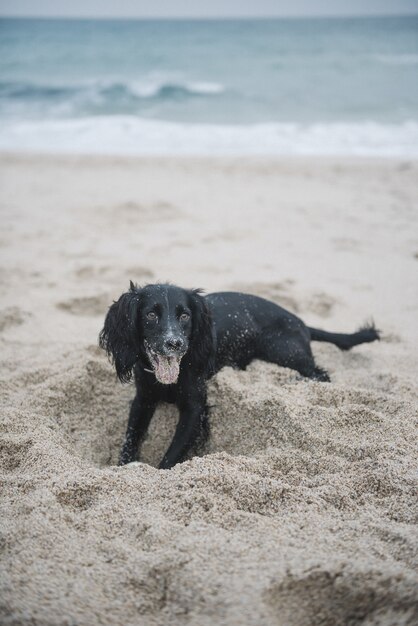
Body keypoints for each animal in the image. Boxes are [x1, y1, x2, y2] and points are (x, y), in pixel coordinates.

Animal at [99, 282, 378, 468]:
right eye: (150, 314)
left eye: (185, 315)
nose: (174, 343)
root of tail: (301, 322)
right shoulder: (143, 399)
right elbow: (130, 438)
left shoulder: (195, 407)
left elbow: (172, 454)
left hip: (284, 352)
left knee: (319, 374)